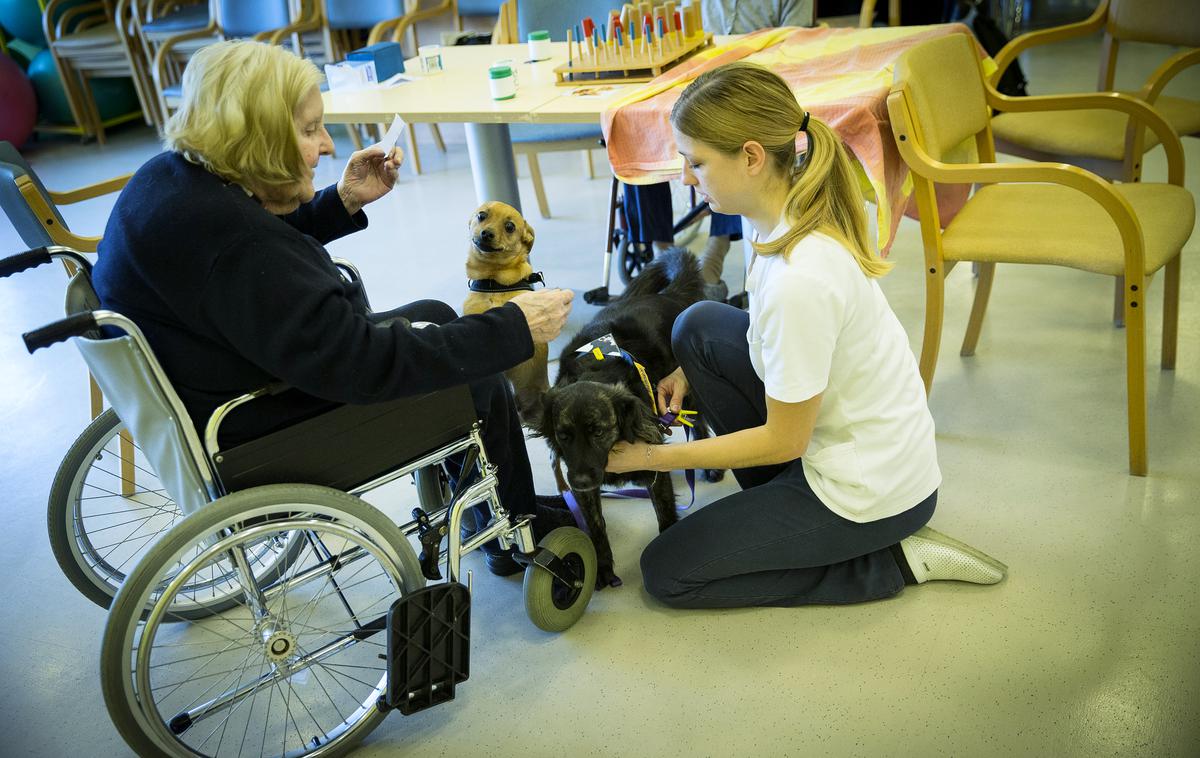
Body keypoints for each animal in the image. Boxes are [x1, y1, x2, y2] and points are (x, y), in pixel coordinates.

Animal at [537, 251, 720, 590]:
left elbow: (665, 513)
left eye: (598, 431)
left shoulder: (655, 467)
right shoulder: (584, 489)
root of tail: (669, 295)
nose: (579, 480)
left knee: (699, 424)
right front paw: (602, 568)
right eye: (564, 435)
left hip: (687, 390)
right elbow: (596, 527)